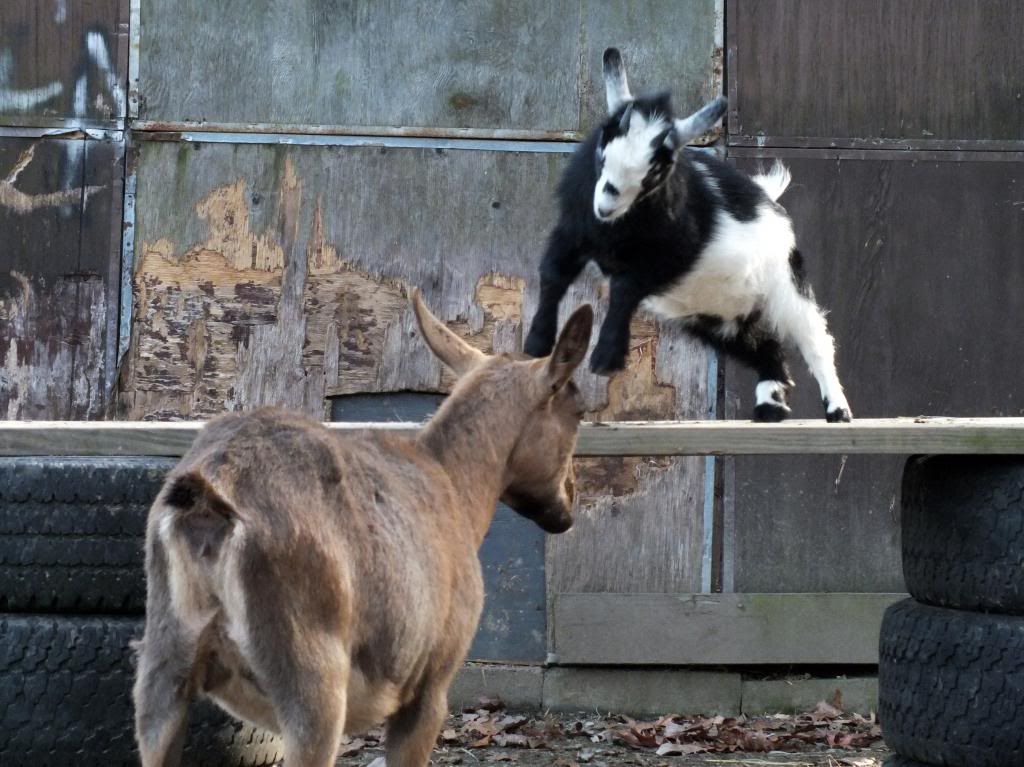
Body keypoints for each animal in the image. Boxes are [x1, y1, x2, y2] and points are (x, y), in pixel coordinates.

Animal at [133, 290, 593, 767]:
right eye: (580, 410)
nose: (568, 503)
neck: (456, 488)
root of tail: (209, 500)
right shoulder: (430, 682)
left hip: (162, 674)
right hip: (310, 680)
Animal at [524, 48, 852, 422]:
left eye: (655, 171)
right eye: (601, 153)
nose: (606, 206)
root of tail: (767, 197)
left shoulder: (661, 261)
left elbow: (624, 292)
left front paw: (606, 359)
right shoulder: (573, 232)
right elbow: (553, 274)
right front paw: (536, 344)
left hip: (785, 285)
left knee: (815, 340)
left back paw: (837, 410)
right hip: (717, 316)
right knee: (762, 345)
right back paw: (771, 406)